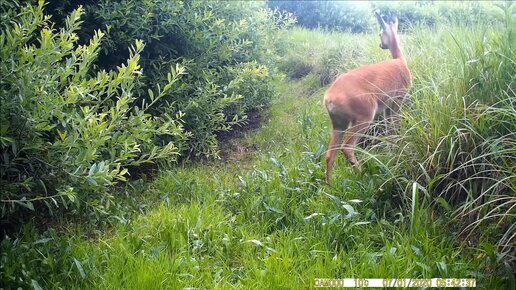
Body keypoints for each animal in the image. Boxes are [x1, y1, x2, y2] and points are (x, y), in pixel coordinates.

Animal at [324, 12, 414, 184]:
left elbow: (389, 128)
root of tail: (328, 99)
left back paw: (329, 185)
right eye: (380, 33)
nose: (381, 44)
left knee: (330, 154)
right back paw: (364, 175)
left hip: (338, 123)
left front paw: (393, 147)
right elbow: (396, 124)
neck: (400, 60)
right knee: (347, 147)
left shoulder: (387, 106)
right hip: (365, 114)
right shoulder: (398, 98)